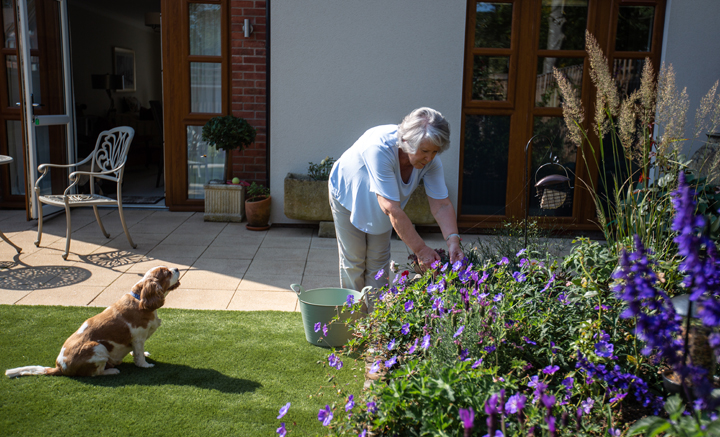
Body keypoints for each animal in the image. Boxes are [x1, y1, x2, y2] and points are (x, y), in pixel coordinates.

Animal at [6, 264, 180, 376]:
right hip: (98, 347)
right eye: (167, 273)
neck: (140, 299)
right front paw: (145, 365)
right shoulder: (137, 337)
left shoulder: (137, 340)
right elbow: (139, 356)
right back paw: (112, 371)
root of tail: (60, 367)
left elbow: (137, 351)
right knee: (96, 373)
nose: (177, 268)